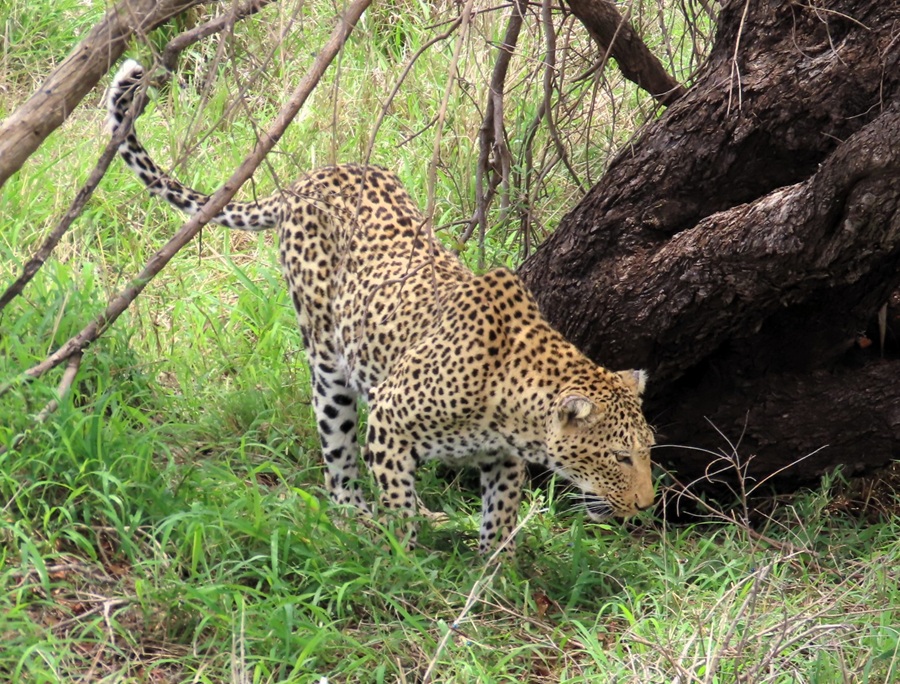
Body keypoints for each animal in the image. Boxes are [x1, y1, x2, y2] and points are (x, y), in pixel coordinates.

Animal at [107, 60, 656, 554]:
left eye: (648, 451)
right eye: (619, 457)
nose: (646, 505)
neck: (511, 406)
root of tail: (311, 178)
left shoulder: (502, 459)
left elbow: (498, 517)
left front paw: (495, 575)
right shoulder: (390, 420)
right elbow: (398, 504)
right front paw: (404, 563)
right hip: (328, 365)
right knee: (338, 458)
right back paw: (354, 512)